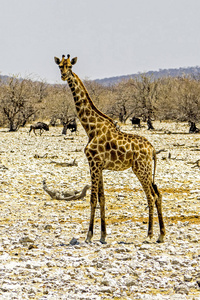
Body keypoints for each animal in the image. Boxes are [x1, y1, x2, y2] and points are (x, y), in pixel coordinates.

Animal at [54, 54, 165, 244]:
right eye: (60, 65)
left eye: (70, 66)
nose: (63, 76)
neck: (91, 128)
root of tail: (152, 149)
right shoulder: (100, 166)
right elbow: (102, 198)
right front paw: (103, 235)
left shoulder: (93, 163)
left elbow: (92, 199)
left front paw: (89, 235)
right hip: (146, 170)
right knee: (158, 193)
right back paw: (161, 235)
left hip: (141, 169)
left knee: (151, 195)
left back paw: (150, 234)